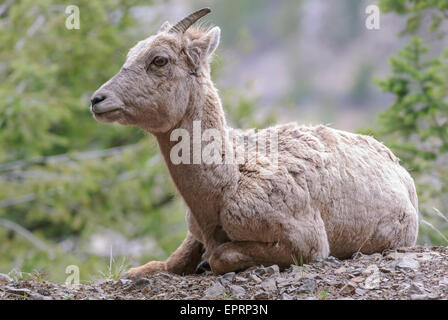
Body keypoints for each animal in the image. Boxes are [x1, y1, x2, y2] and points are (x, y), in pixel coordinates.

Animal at [91, 7, 420, 278]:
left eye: (159, 60)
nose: (97, 100)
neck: (225, 188)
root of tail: (399, 168)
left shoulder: (305, 244)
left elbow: (220, 257)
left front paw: (207, 263)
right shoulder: (194, 236)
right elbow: (157, 266)